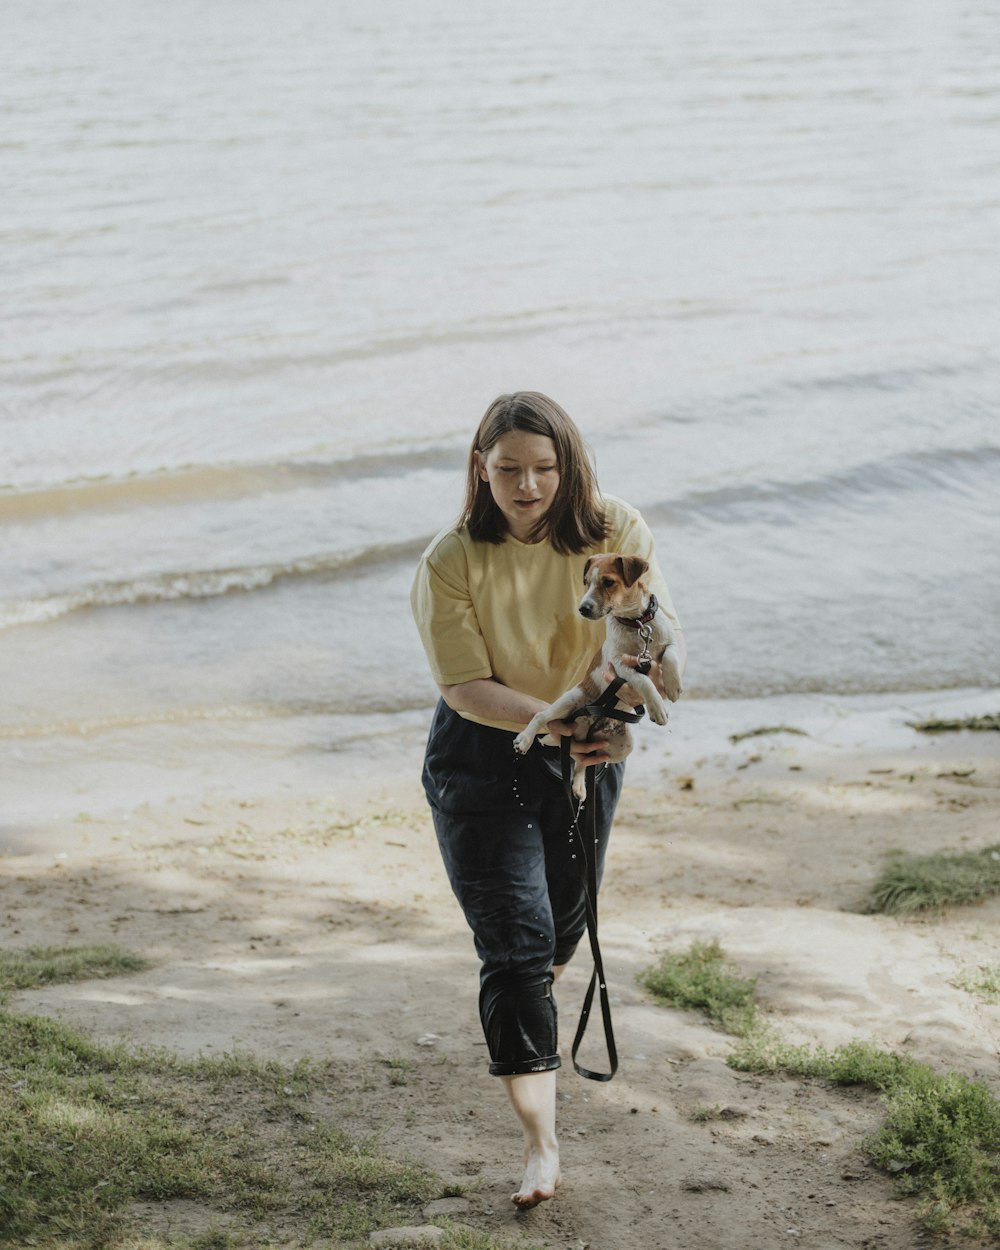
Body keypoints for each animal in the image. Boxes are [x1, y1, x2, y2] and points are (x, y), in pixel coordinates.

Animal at [515, 555, 680, 795]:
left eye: (608, 582)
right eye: (585, 582)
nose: (582, 609)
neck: (635, 623)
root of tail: (588, 728)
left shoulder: (669, 643)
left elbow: (671, 655)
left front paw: (674, 685)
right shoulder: (619, 666)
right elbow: (643, 681)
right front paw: (657, 708)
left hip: (621, 748)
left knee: (584, 760)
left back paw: (578, 786)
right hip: (570, 700)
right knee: (541, 716)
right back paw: (525, 740)